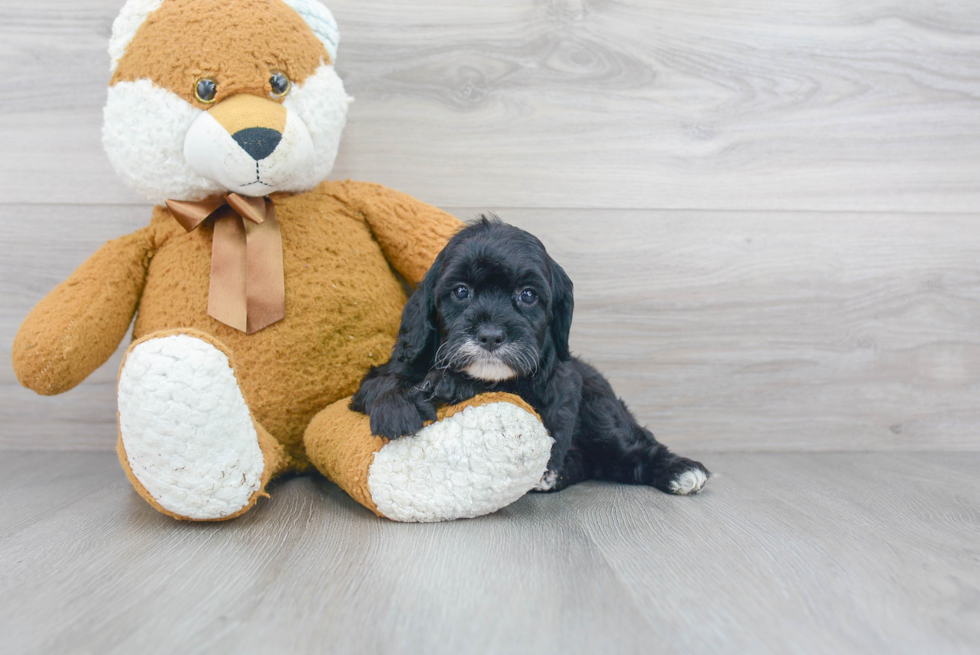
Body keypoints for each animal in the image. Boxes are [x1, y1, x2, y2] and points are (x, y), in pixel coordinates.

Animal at [352, 218, 712, 494]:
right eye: (461, 291)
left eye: (527, 295)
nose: (491, 335)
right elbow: (383, 380)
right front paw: (397, 407)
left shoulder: (557, 384)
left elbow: (509, 391)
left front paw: (449, 384)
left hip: (600, 406)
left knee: (628, 445)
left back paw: (680, 470)